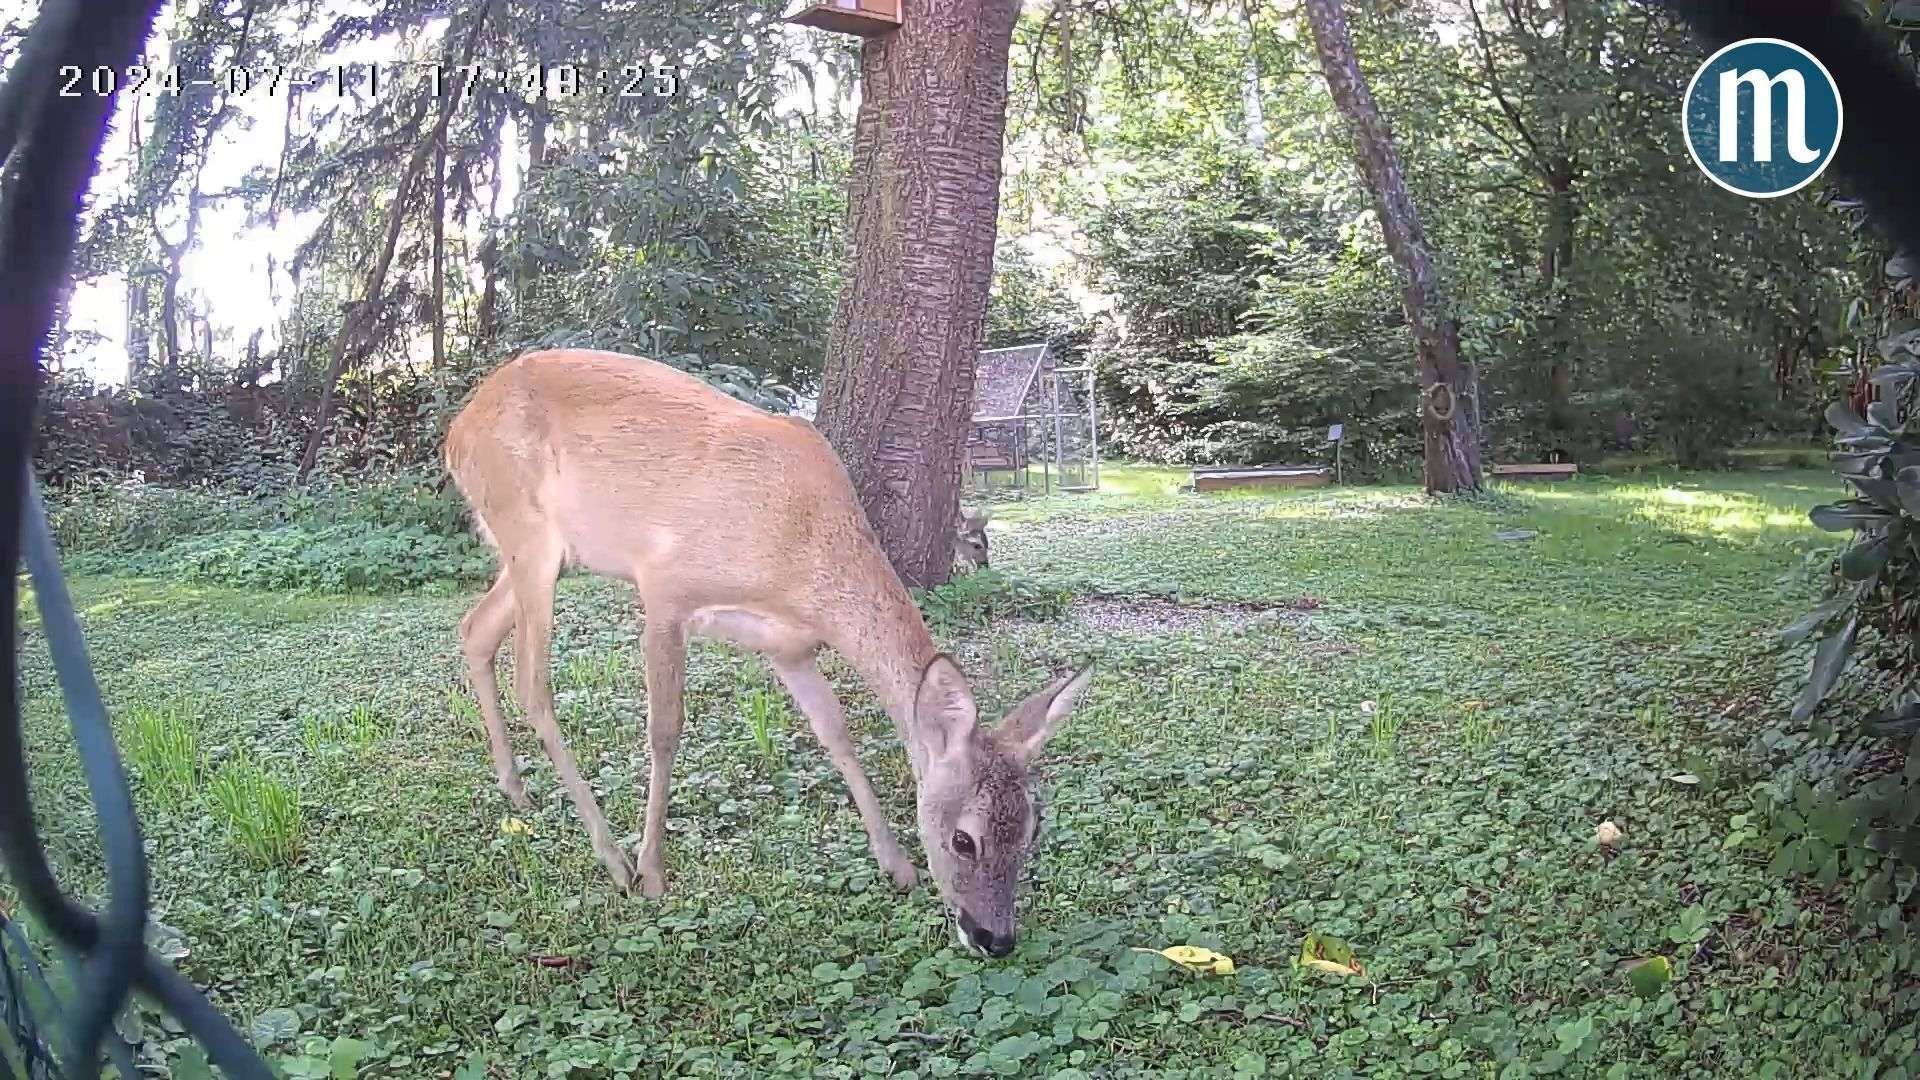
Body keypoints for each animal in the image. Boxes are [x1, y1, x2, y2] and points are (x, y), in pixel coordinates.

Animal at [444, 348, 1094, 957]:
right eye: (964, 838)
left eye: (1032, 828)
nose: (995, 938)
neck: (799, 553)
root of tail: (456, 431)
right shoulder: (664, 589)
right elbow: (664, 730)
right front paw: (653, 871)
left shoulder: (789, 647)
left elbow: (836, 734)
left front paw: (897, 864)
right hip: (529, 534)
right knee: (532, 683)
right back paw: (613, 859)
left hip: (544, 554)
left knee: (474, 629)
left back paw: (516, 790)